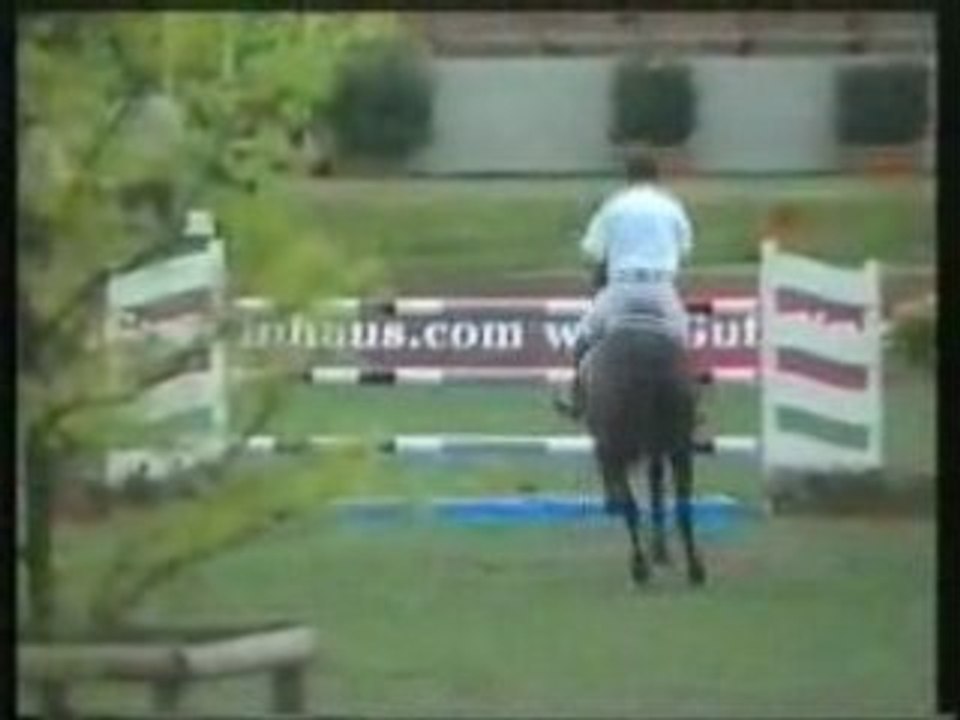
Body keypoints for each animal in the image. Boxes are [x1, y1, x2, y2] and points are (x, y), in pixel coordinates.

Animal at [582, 317, 705, 587]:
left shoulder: (611, 451)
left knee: (632, 507)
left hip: (619, 447)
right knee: (682, 504)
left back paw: (639, 567)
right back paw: (695, 568)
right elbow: (657, 491)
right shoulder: (655, 451)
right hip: (678, 446)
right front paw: (660, 551)